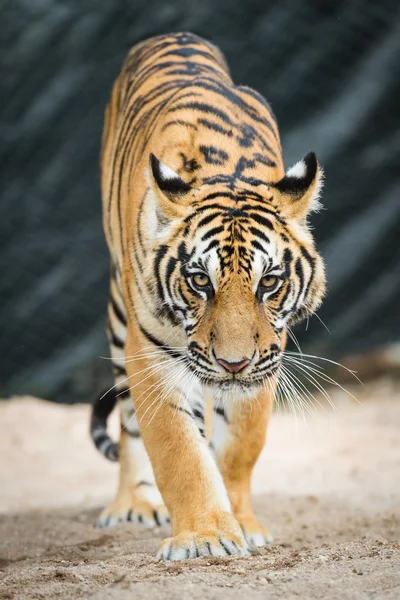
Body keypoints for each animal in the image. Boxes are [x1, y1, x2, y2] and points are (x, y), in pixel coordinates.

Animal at [90, 30, 324, 560]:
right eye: (200, 281)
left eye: (269, 282)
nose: (233, 364)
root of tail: (173, 34)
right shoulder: (153, 353)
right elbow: (178, 451)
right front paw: (207, 535)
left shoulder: (268, 356)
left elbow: (241, 446)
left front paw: (242, 524)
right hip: (119, 316)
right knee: (130, 425)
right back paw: (134, 503)